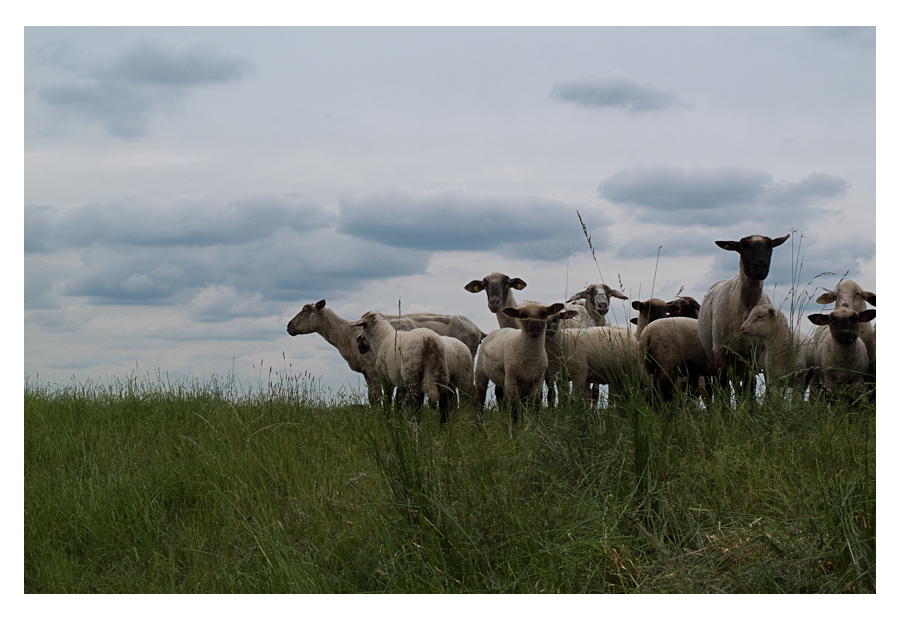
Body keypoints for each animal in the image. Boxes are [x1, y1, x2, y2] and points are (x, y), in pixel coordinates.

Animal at [696, 232, 788, 392]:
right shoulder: (720, 350)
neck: (744, 307)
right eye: (743, 246)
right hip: (712, 355)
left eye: (770, 246)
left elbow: (749, 387)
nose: (761, 265)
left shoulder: (752, 354)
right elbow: (724, 386)